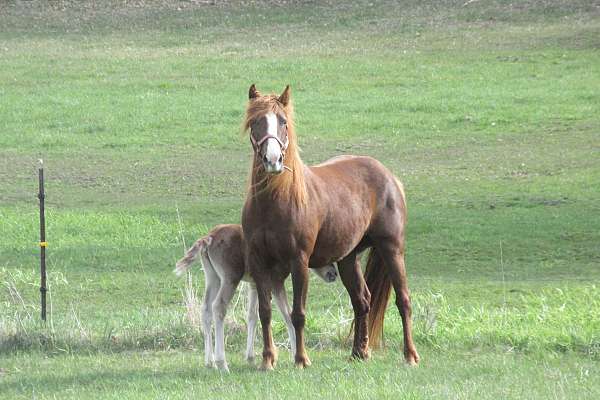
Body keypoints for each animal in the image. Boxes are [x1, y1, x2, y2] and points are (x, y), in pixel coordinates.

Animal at [176, 225, 340, 372]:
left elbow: (253, 316)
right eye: (324, 256)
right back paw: (222, 364)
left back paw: (209, 363)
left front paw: (252, 358)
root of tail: (210, 237)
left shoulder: (254, 285)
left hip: (213, 277)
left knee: (205, 309)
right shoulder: (275, 282)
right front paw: (296, 356)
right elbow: (287, 315)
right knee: (218, 306)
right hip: (230, 278)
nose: (333, 273)